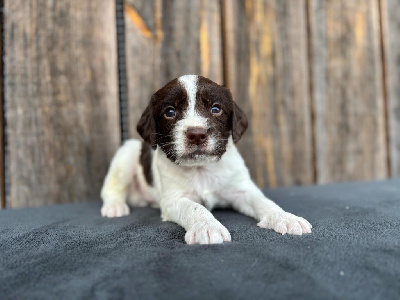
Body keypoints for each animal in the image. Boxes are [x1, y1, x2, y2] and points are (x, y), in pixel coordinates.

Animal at [101, 74, 312, 244]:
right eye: (170, 112)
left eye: (216, 109)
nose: (196, 134)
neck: (201, 167)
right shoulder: (175, 199)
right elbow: (195, 208)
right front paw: (207, 227)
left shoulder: (241, 190)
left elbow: (263, 202)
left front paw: (284, 217)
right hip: (125, 155)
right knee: (111, 188)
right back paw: (114, 207)